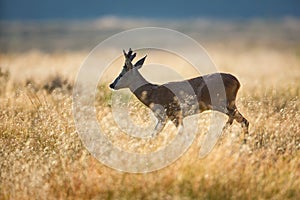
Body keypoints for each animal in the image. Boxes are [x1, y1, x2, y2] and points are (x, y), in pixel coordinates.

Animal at [109, 48, 250, 142]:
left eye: (122, 73)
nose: (112, 84)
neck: (152, 91)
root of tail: (236, 81)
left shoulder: (171, 115)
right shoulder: (166, 118)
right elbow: (154, 134)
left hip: (222, 104)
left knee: (243, 120)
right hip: (228, 104)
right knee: (240, 120)